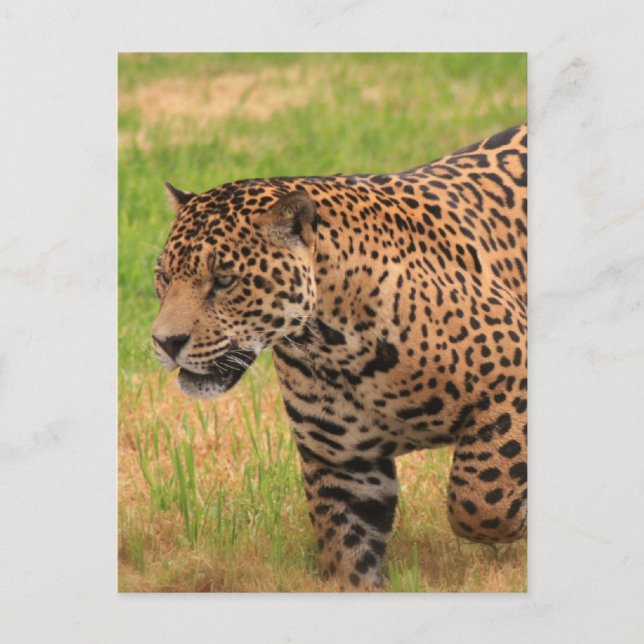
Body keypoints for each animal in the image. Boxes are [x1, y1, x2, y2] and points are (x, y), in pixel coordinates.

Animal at [151, 125, 528, 590]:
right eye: (163, 277)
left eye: (225, 280)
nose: (165, 342)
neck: (335, 348)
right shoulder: (344, 465)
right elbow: (347, 553)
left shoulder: (512, 381)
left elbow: (480, 500)